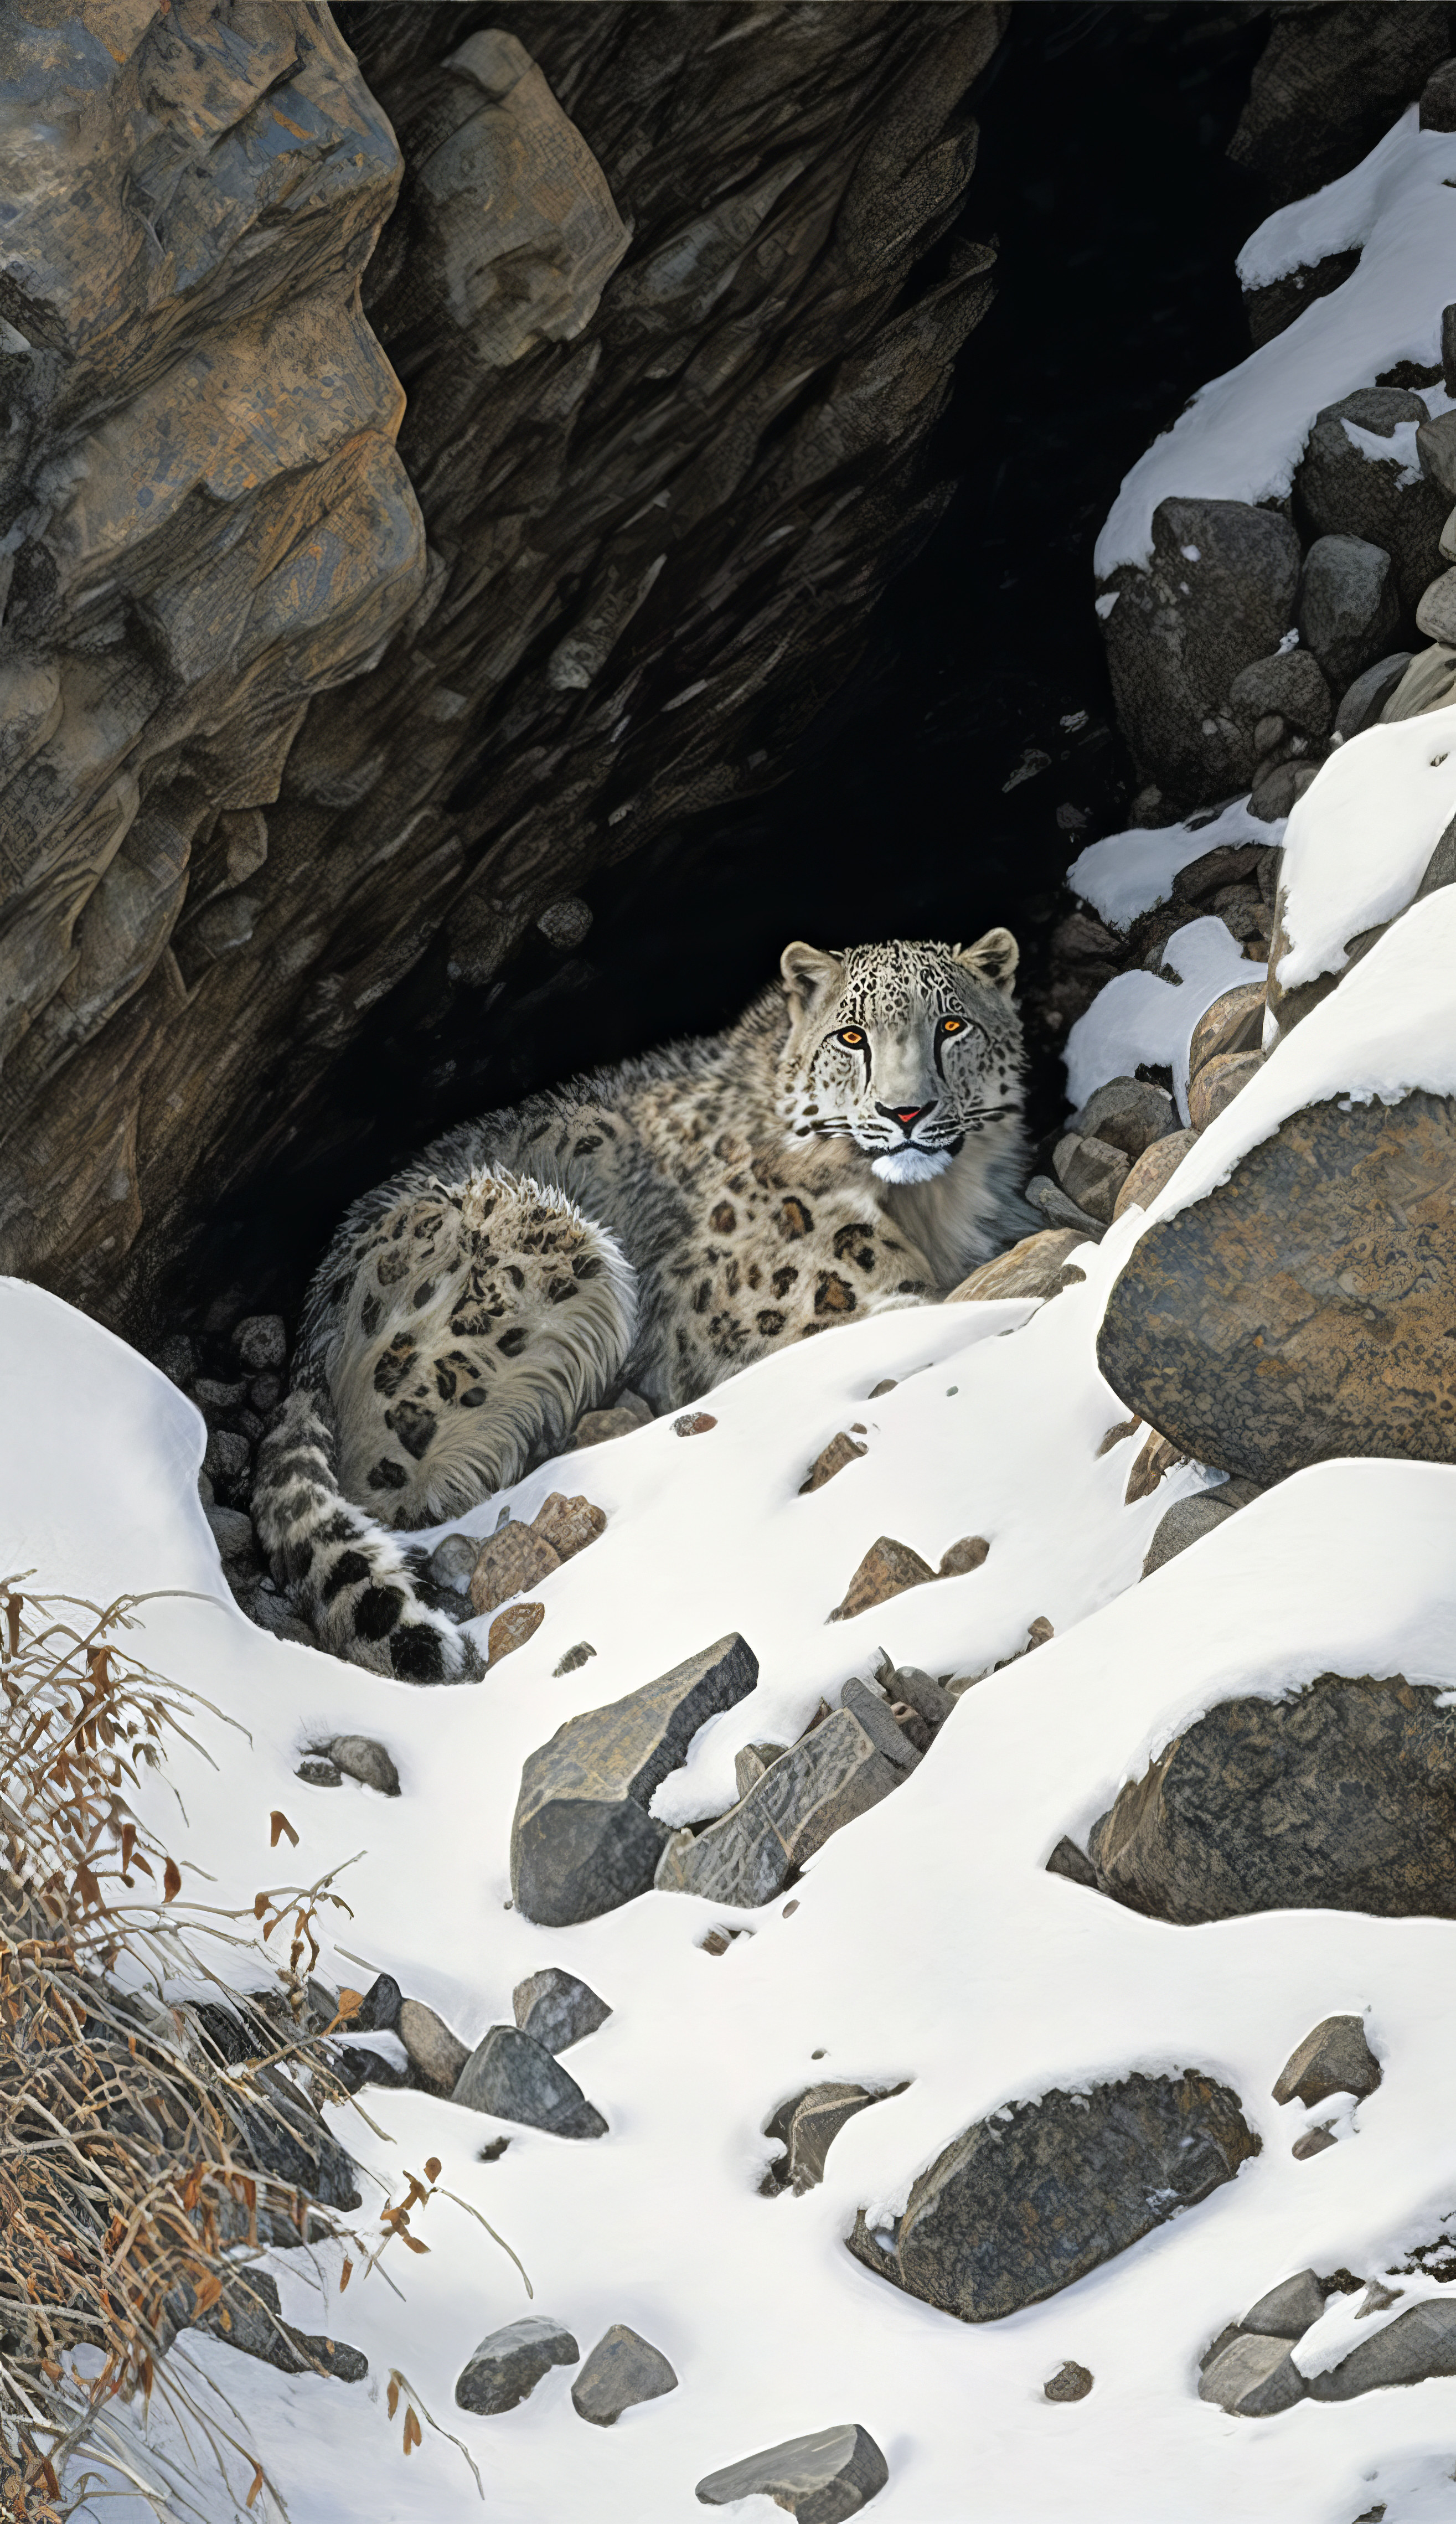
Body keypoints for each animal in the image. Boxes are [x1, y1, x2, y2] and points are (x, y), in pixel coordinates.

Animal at [259, 928, 1034, 1676]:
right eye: (850, 1035)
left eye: (952, 1024)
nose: (905, 1111)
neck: (929, 1206)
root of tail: (312, 1323)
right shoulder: (777, 1302)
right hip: (548, 1248)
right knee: (396, 1484)